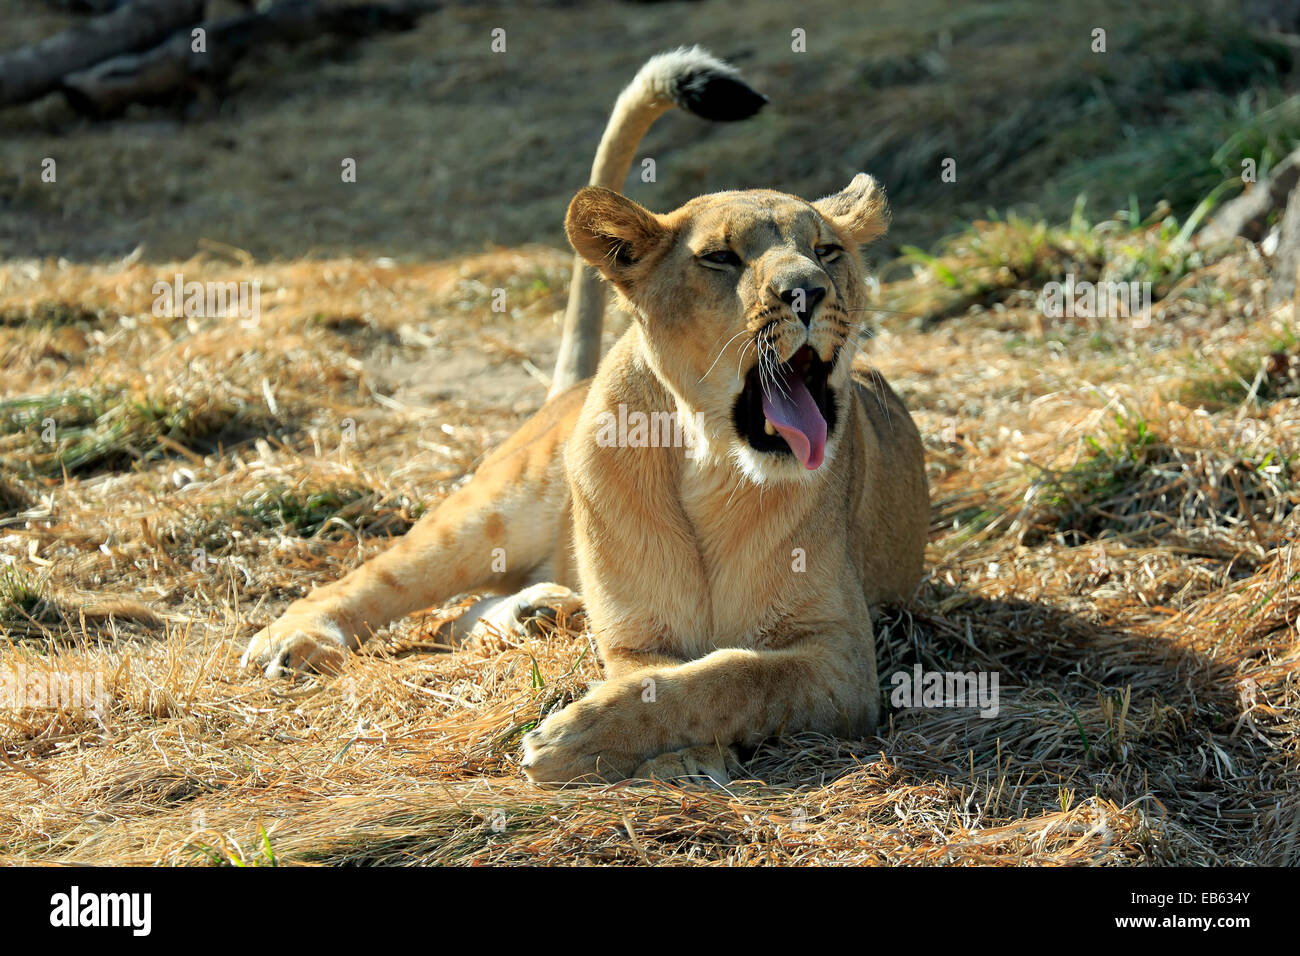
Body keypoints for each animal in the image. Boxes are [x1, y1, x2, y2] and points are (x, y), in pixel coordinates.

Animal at [241, 47, 929, 785]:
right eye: (720, 258)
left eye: (827, 250)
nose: (807, 291)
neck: (713, 463)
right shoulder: (638, 630)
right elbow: (668, 679)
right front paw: (632, 745)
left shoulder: (843, 657)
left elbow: (732, 676)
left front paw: (586, 737)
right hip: (491, 510)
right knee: (383, 581)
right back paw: (293, 641)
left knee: (456, 619)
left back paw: (541, 612)